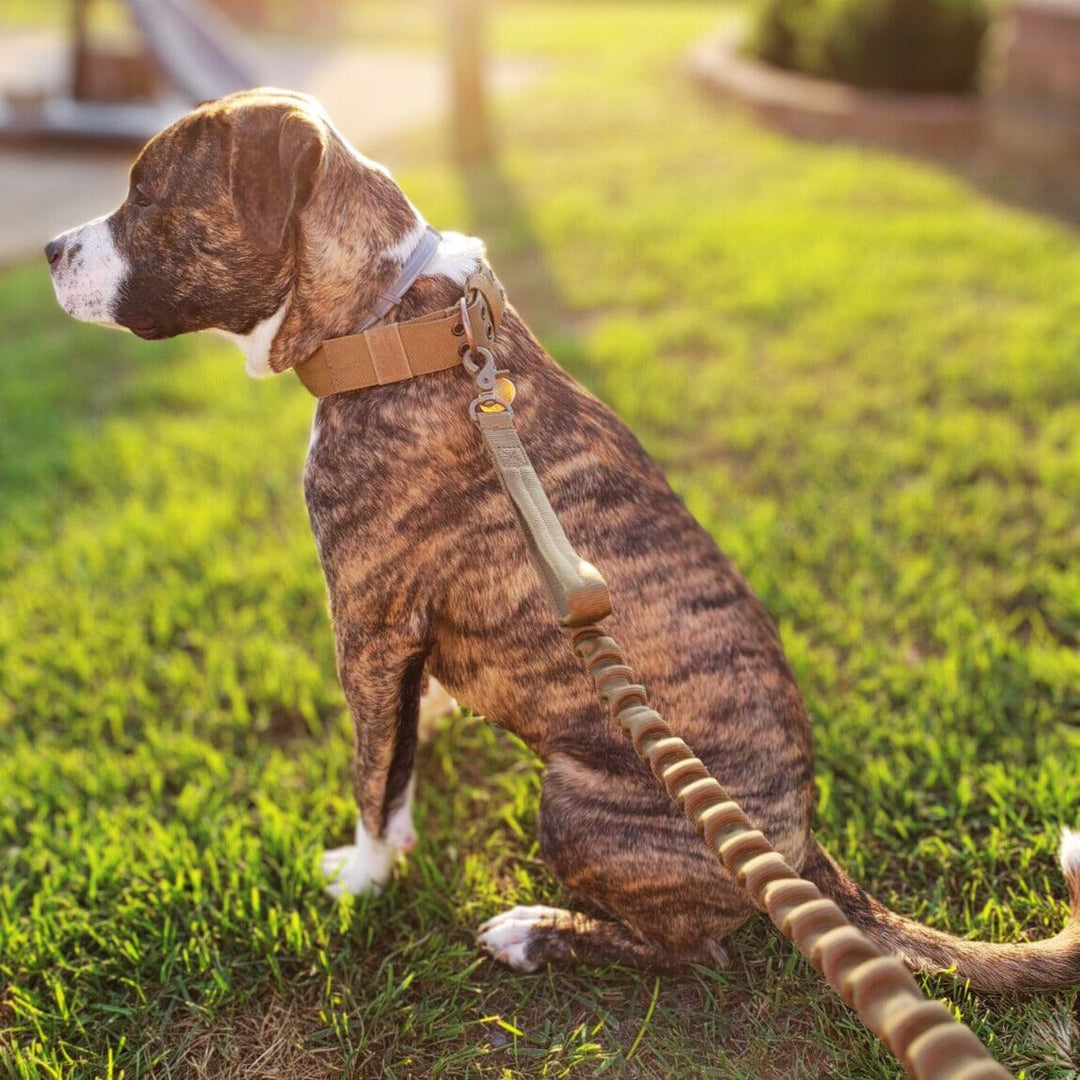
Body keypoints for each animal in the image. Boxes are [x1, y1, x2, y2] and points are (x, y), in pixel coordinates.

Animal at [46, 88, 1080, 989]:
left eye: (148, 195)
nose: (51, 246)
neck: (389, 322)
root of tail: (797, 848)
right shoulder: (399, 645)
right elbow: (403, 754)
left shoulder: (368, 632)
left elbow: (373, 776)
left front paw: (366, 874)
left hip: (578, 805)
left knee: (687, 952)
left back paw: (536, 935)